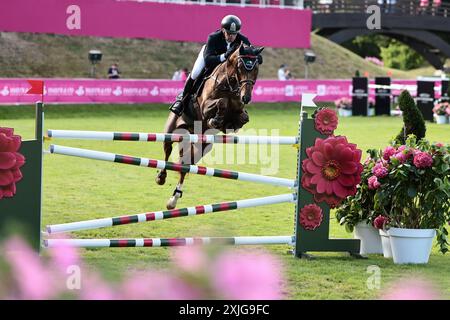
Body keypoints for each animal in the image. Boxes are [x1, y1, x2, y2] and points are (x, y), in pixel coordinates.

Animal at [156, 43, 264, 210]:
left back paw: (174, 198)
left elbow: (243, 117)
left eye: (256, 68)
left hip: (203, 146)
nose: (246, 97)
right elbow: (221, 102)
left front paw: (230, 124)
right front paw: (216, 119)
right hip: (171, 131)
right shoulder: (205, 106)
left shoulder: (239, 109)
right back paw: (161, 177)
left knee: (186, 165)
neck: (229, 85)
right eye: (240, 67)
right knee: (167, 152)